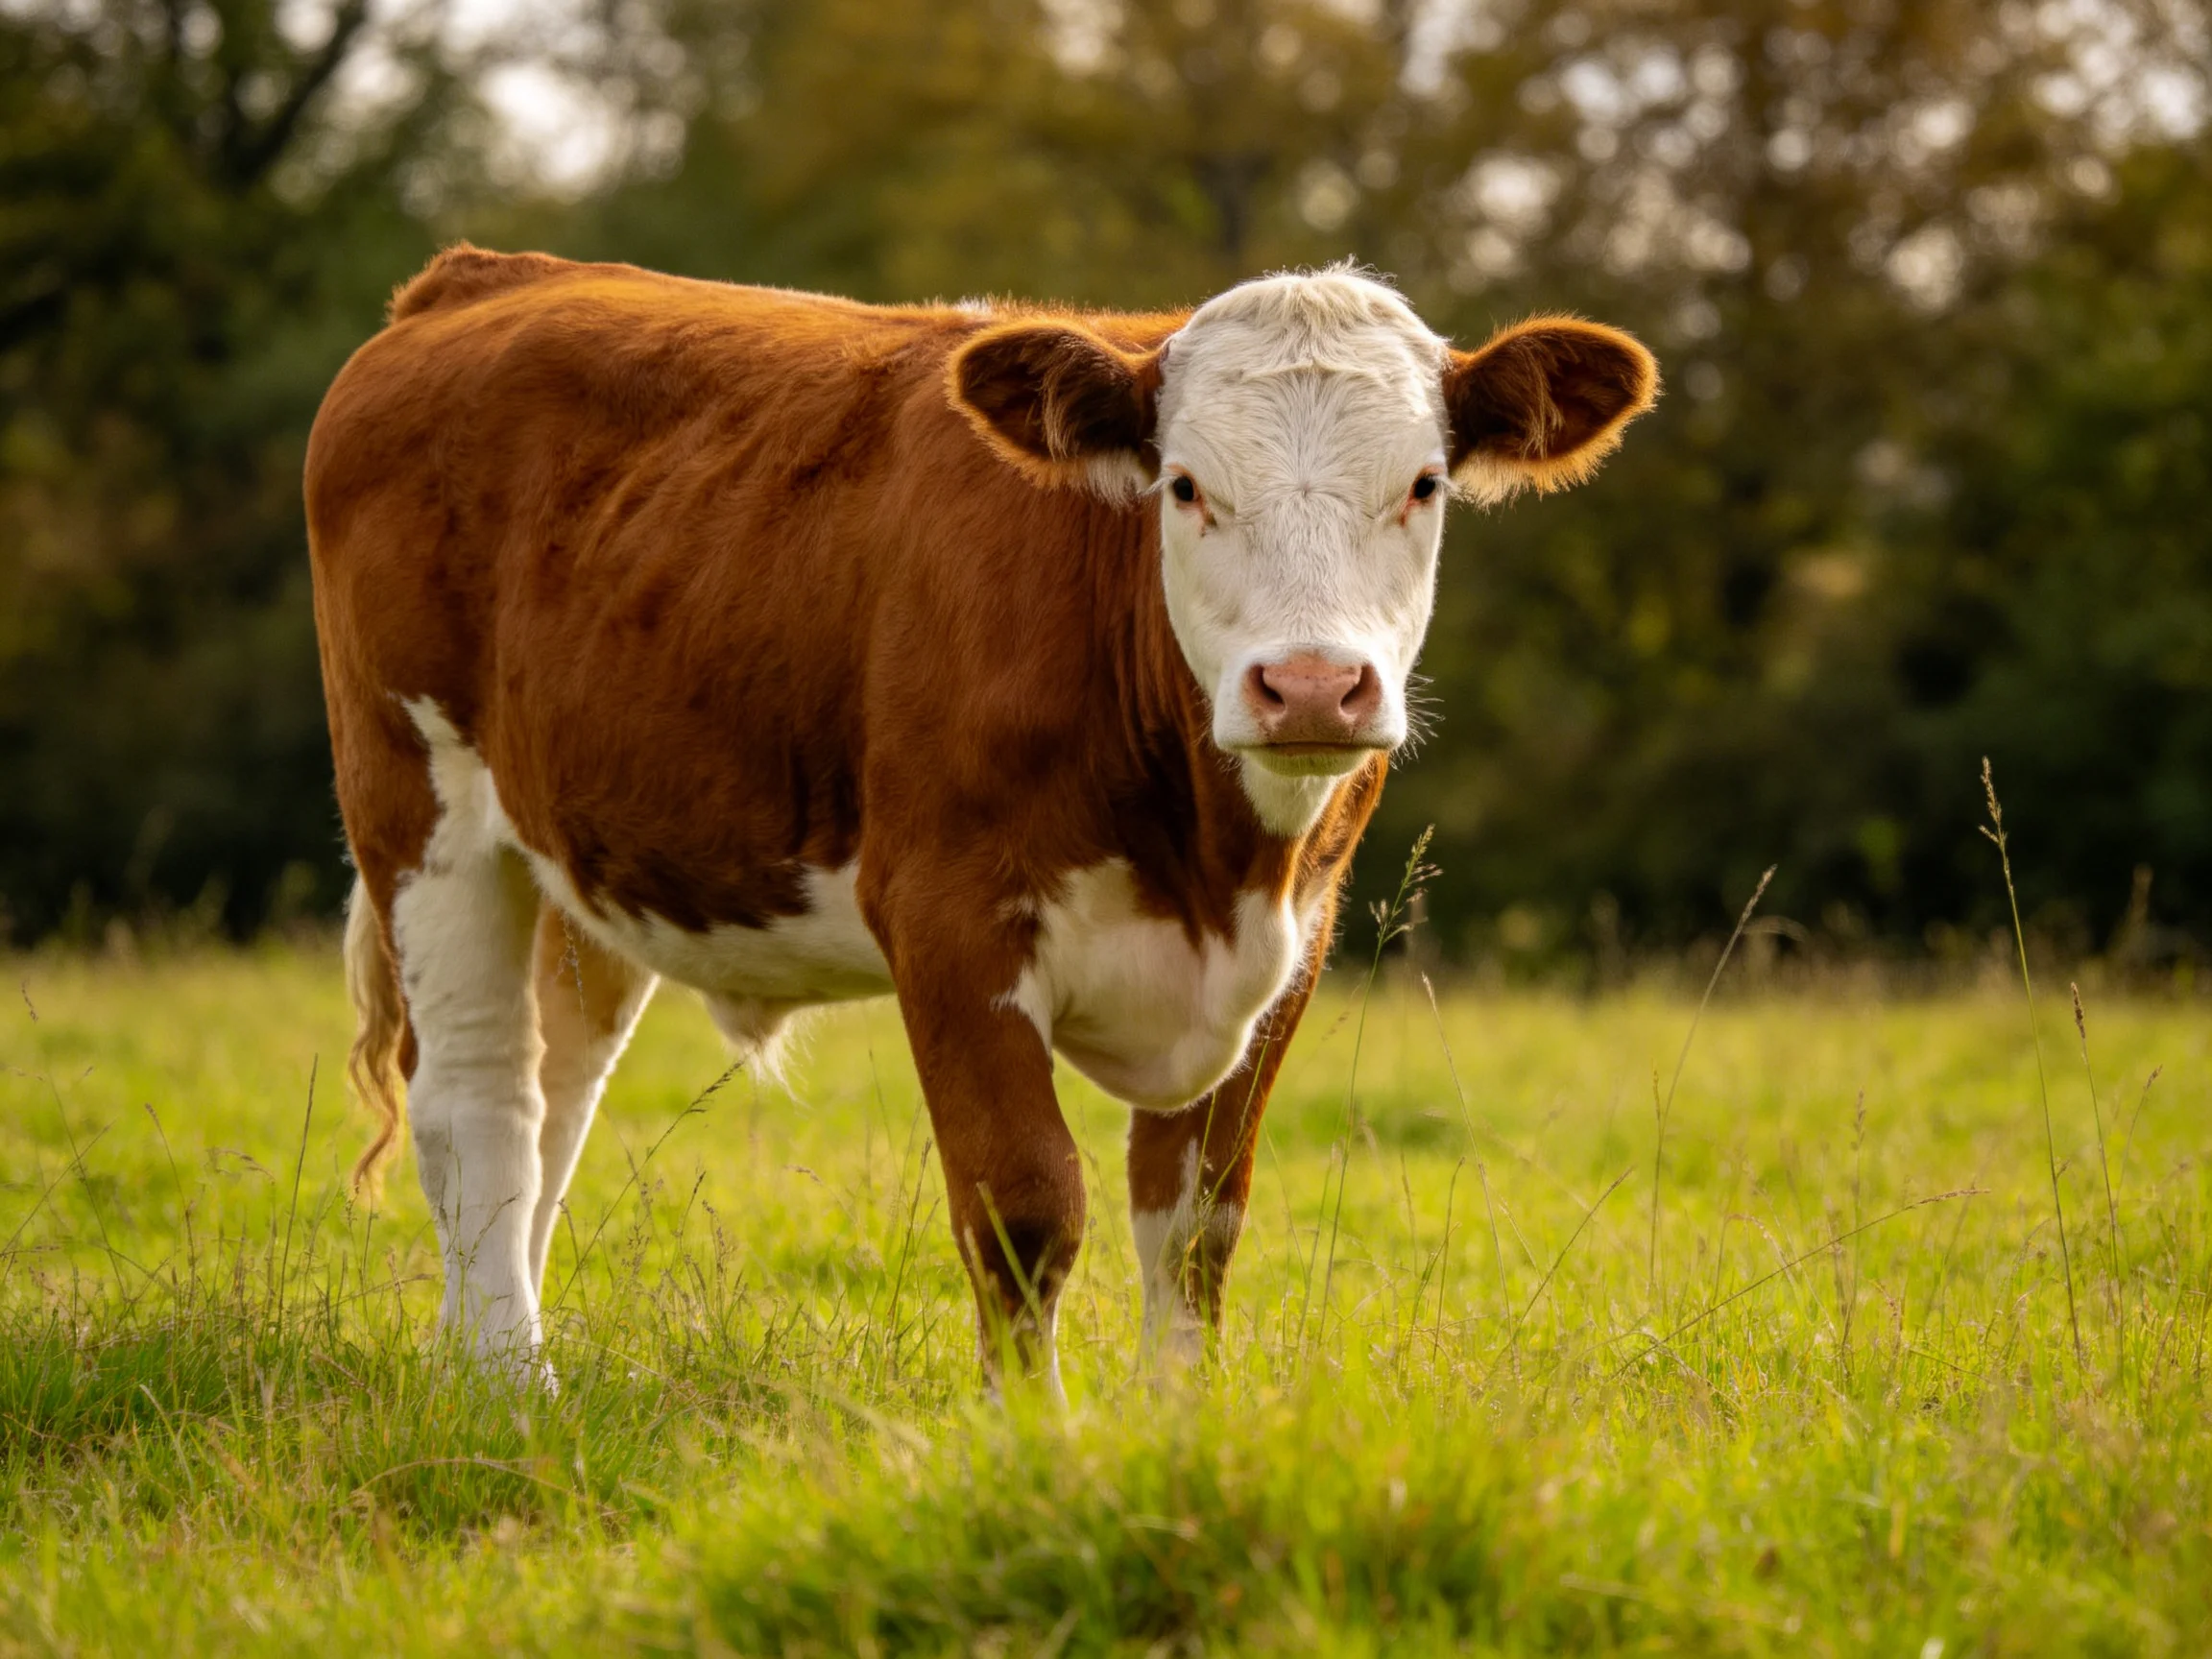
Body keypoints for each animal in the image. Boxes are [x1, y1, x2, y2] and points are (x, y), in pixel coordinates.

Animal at [306, 244, 1656, 1392]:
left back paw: (482, 1354)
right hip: (421, 808)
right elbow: (1025, 1207)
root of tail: (481, 276)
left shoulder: (1293, 947)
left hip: (581, 868)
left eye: (1422, 486)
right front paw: (1031, 1442)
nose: (1314, 685)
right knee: (478, 1095)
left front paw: (1180, 1429)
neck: (1209, 863)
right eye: (1185, 487)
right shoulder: (951, 923)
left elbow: (1195, 1222)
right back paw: (507, 1384)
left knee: (557, 1099)